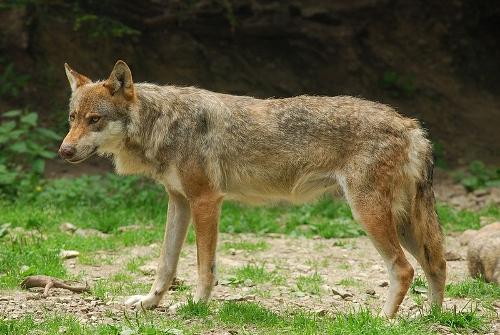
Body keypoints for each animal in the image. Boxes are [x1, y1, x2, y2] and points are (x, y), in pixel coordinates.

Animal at [60, 60, 448, 318]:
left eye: (95, 120)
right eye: (72, 118)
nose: (64, 151)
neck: (163, 122)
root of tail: (412, 126)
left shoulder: (206, 201)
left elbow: (204, 266)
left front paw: (196, 306)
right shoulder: (179, 201)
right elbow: (165, 265)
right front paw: (148, 303)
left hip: (369, 215)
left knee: (404, 269)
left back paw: (381, 320)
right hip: (403, 222)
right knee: (437, 264)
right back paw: (430, 318)